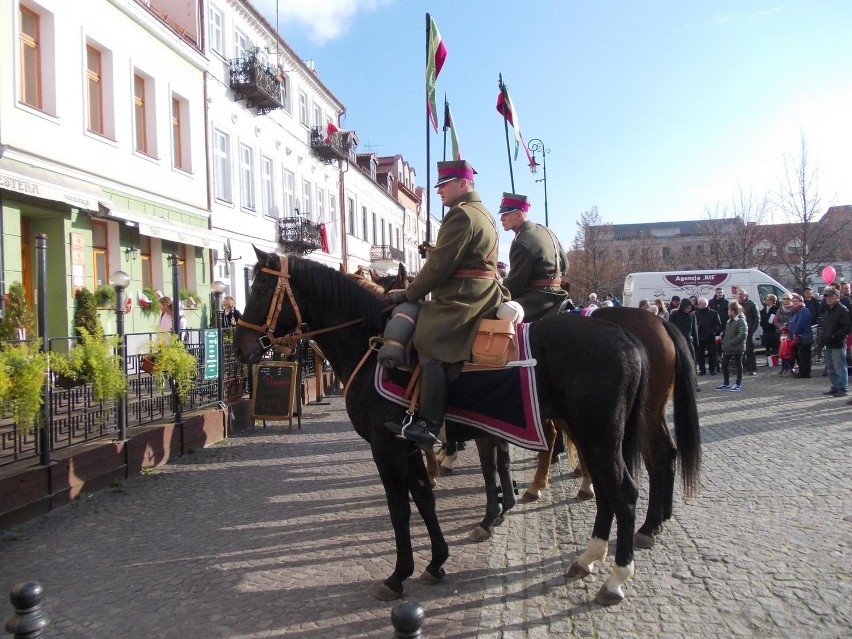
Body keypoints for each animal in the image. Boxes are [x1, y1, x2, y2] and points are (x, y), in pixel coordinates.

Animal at [236, 250, 648, 604]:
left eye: (260, 288)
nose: (240, 347)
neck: (371, 346)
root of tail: (624, 335)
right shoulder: (407, 445)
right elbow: (424, 498)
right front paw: (436, 562)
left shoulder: (386, 447)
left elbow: (400, 507)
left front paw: (399, 574)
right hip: (592, 436)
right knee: (605, 490)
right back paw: (587, 557)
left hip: (598, 436)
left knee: (623, 493)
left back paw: (616, 577)